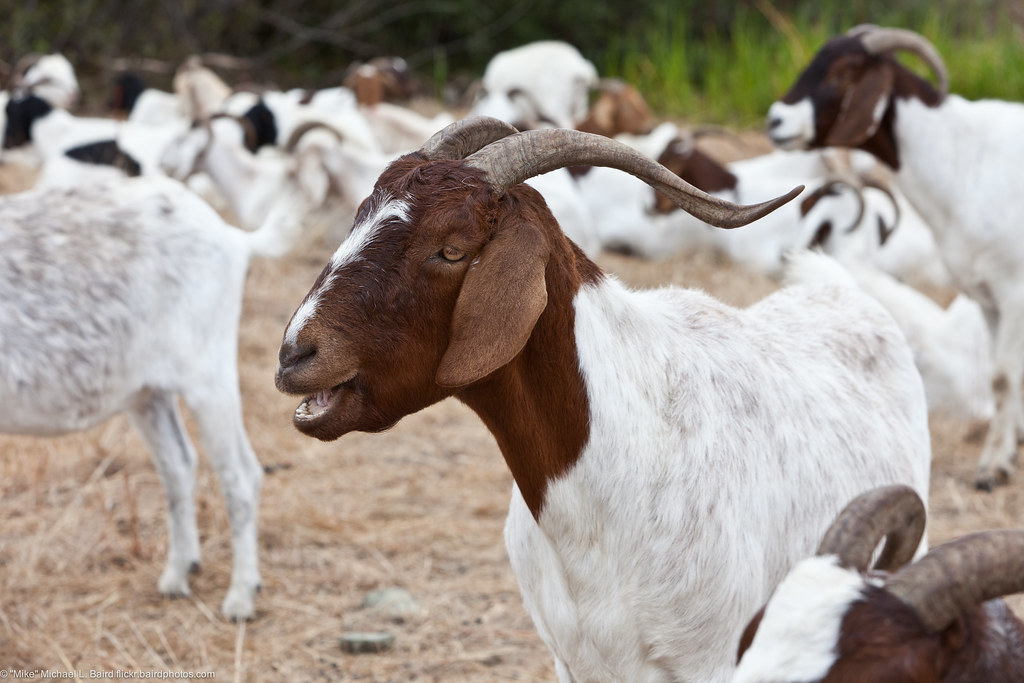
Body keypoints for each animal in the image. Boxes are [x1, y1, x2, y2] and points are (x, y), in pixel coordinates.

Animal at [0, 172, 312, 618]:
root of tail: (231, 236)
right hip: (145, 394)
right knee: (178, 465)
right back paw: (178, 574)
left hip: (208, 377)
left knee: (240, 475)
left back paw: (240, 595)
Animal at [274, 116, 931, 682]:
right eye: (358, 216)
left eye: (451, 250)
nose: (295, 353)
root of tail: (840, 288)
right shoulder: (572, 660)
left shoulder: (713, 659)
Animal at [767, 25, 1024, 489]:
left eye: (844, 71)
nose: (775, 120)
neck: (965, 161)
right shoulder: (987, 298)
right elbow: (1006, 380)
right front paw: (1009, 449)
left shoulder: (1013, 292)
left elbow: (1002, 378)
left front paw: (993, 467)